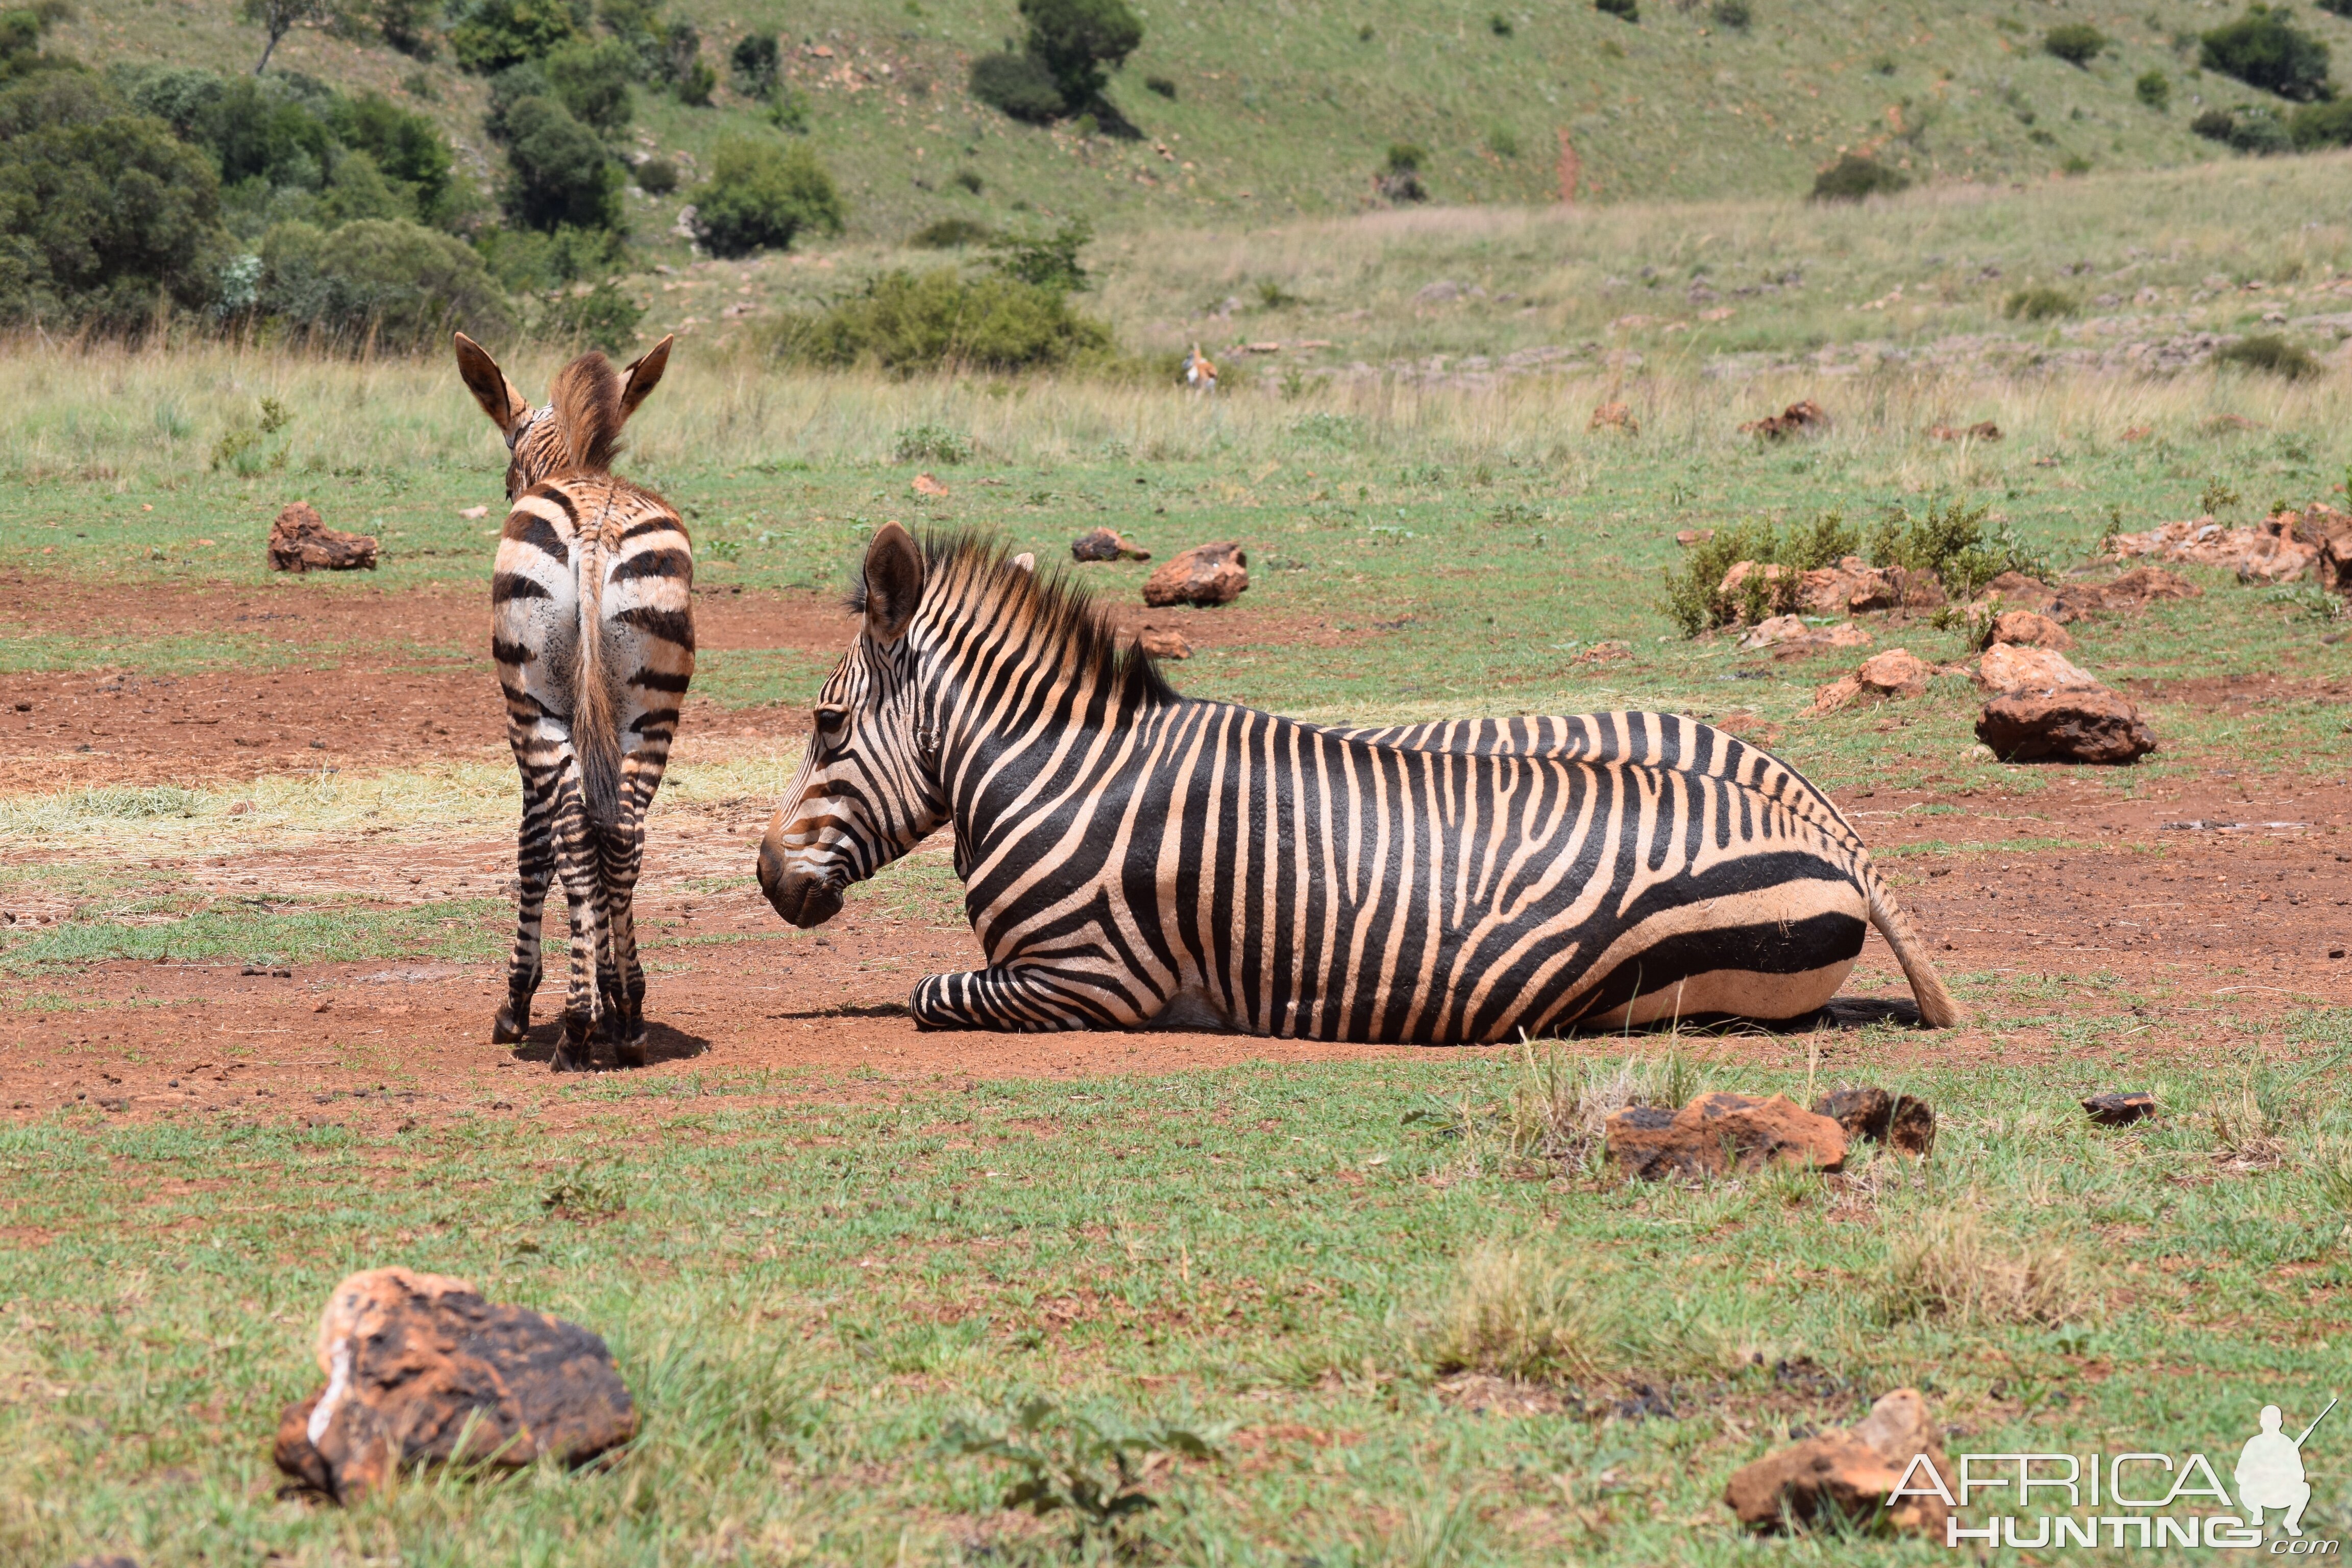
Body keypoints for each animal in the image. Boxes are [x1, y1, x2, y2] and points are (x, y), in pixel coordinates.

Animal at [449, 329, 687, 1067]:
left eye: (505, 483)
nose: (507, 494)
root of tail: (594, 532)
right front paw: (613, 996)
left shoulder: (524, 727)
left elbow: (535, 850)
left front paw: (519, 1003)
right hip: (652, 710)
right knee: (623, 835)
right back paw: (628, 1015)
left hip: (536, 711)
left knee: (573, 837)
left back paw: (576, 1030)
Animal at [757, 531, 1966, 1043]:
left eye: (825, 724)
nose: (767, 878)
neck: (1058, 773)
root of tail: (1832, 838)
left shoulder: (1090, 977)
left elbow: (929, 992)